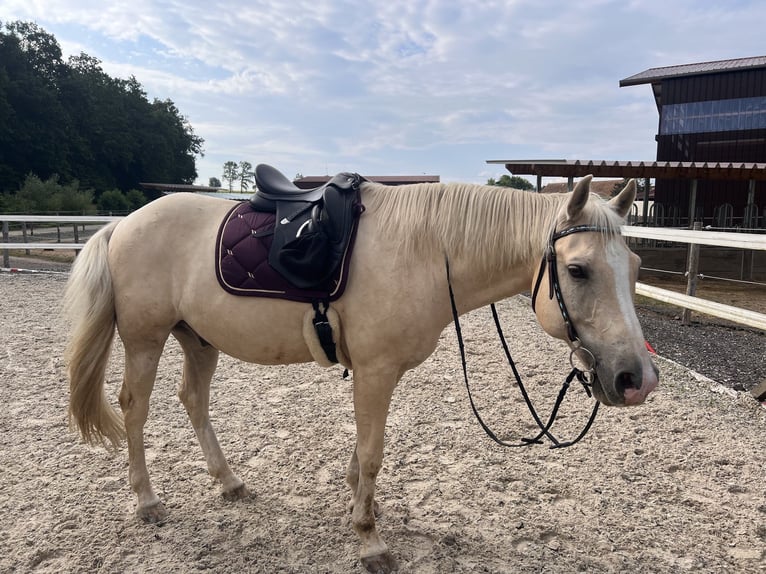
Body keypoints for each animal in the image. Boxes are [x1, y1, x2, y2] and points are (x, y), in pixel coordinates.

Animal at [63, 174, 658, 573]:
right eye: (578, 270)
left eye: (634, 268)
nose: (638, 379)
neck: (428, 249)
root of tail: (124, 223)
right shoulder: (376, 372)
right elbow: (372, 453)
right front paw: (370, 540)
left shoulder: (376, 374)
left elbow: (361, 452)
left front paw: (358, 506)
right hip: (145, 339)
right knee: (135, 408)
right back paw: (146, 501)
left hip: (198, 339)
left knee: (193, 400)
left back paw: (229, 481)